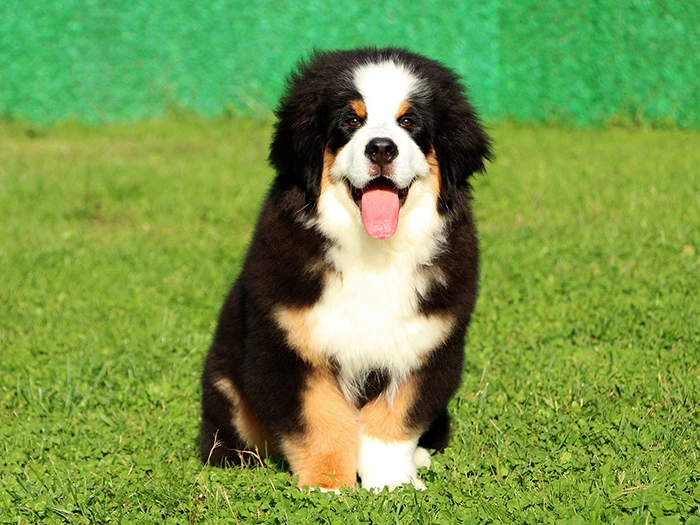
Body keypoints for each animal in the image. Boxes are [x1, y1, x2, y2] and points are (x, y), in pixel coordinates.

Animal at [198, 46, 492, 492]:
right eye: (351, 121)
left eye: (409, 121)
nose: (382, 148)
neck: (373, 252)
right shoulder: (289, 345)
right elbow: (320, 421)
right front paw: (328, 486)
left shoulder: (422, 345)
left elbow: (392, 422)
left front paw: (392, 484)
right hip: (226, 383)